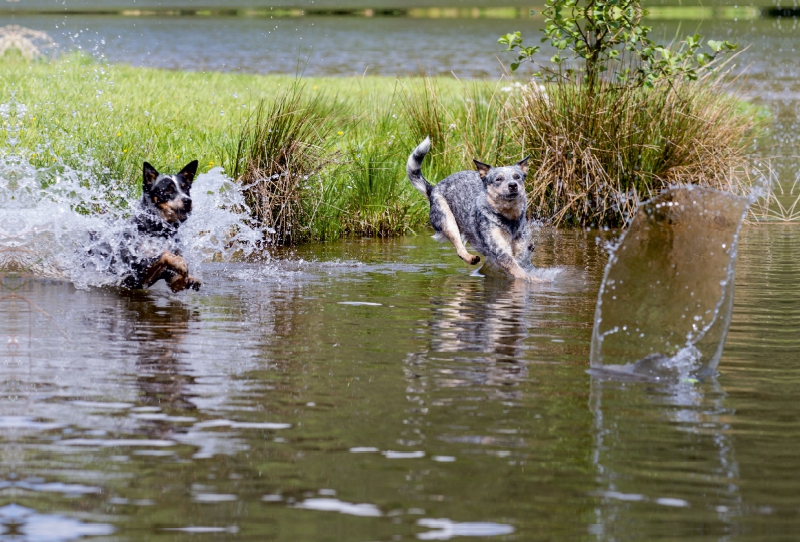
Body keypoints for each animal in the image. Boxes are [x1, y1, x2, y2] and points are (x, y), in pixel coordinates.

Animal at [406, 137, 536, 280]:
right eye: (498, 179)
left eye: (517, 177)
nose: (513, 185)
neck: (508, 217)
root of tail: (433, 189)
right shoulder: (501, 252)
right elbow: (521, 272)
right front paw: (537, 280)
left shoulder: (520, 250)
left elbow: (523, 264)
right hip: (447, 221)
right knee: (459, 248)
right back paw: (470, 258)